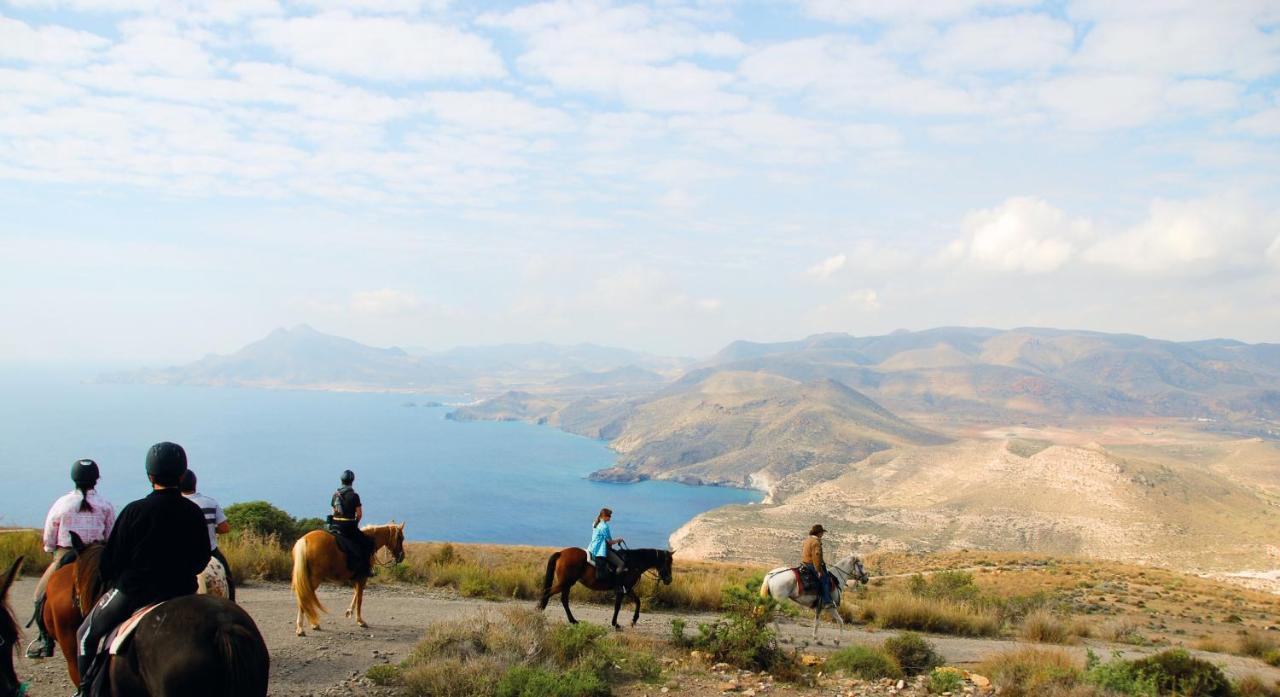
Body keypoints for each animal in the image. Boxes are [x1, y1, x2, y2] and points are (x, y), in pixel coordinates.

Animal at [535, 547, 675, 626]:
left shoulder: (628, 589)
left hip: (568, 584)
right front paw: (615, 624)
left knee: (563, 600)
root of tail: (561, 553)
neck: (633, 562)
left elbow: (637, 601)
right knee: (548, 592)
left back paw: (573, 620)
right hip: (565, 583)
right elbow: (618, 606)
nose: (669, 580)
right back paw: (539, 610)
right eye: (668, 562)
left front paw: (634, 620)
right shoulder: (623, 589)